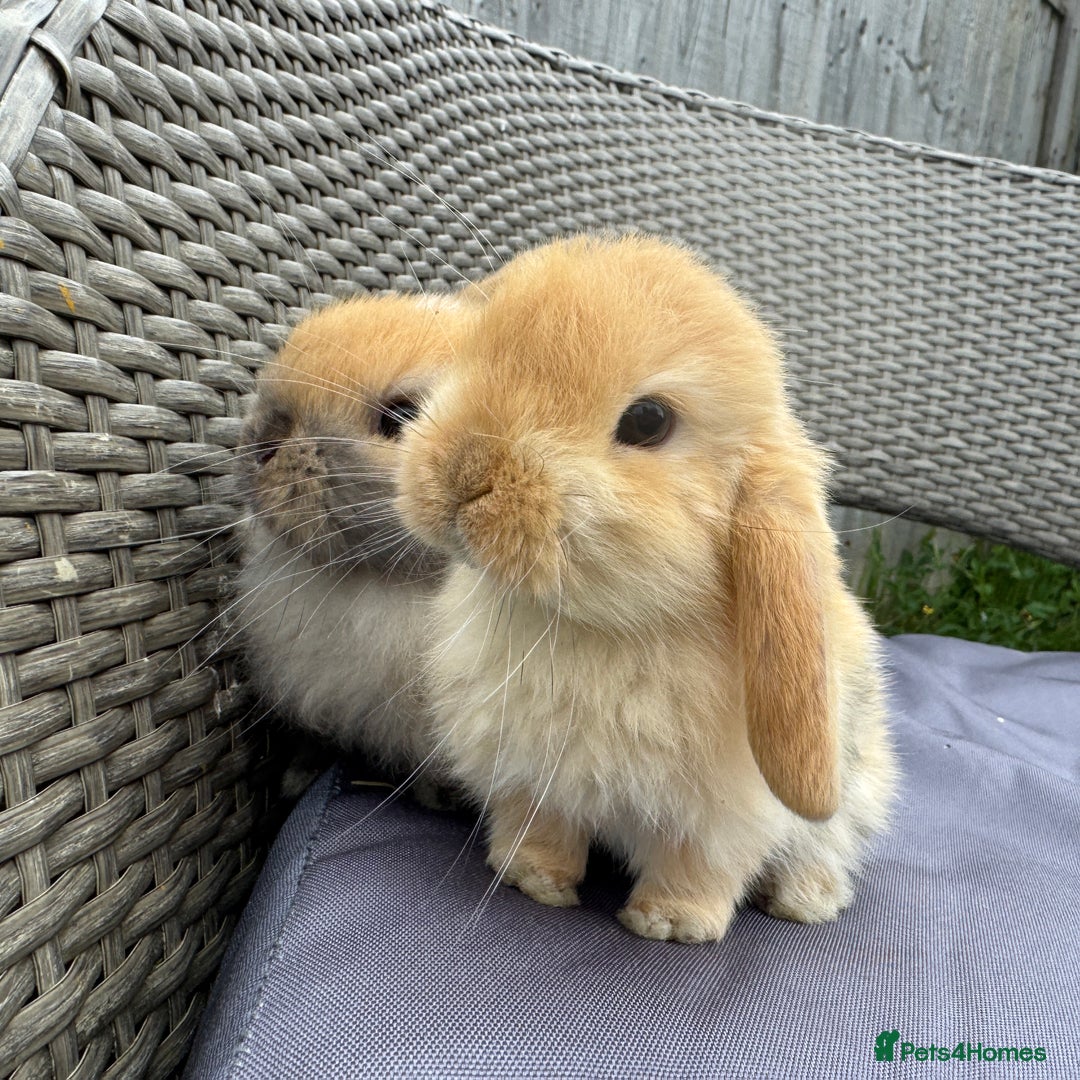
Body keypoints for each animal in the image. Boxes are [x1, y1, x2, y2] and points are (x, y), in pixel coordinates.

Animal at [395, 234, 896, 943]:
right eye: (474, 349)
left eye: (648, 421)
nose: (464, 474)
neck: (591, 627)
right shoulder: (530, 775)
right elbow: (540, 826)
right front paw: (531, 880)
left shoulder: (724, 819)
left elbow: (699, 867)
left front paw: (669, 924)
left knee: (827, 849)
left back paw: (803, 902)